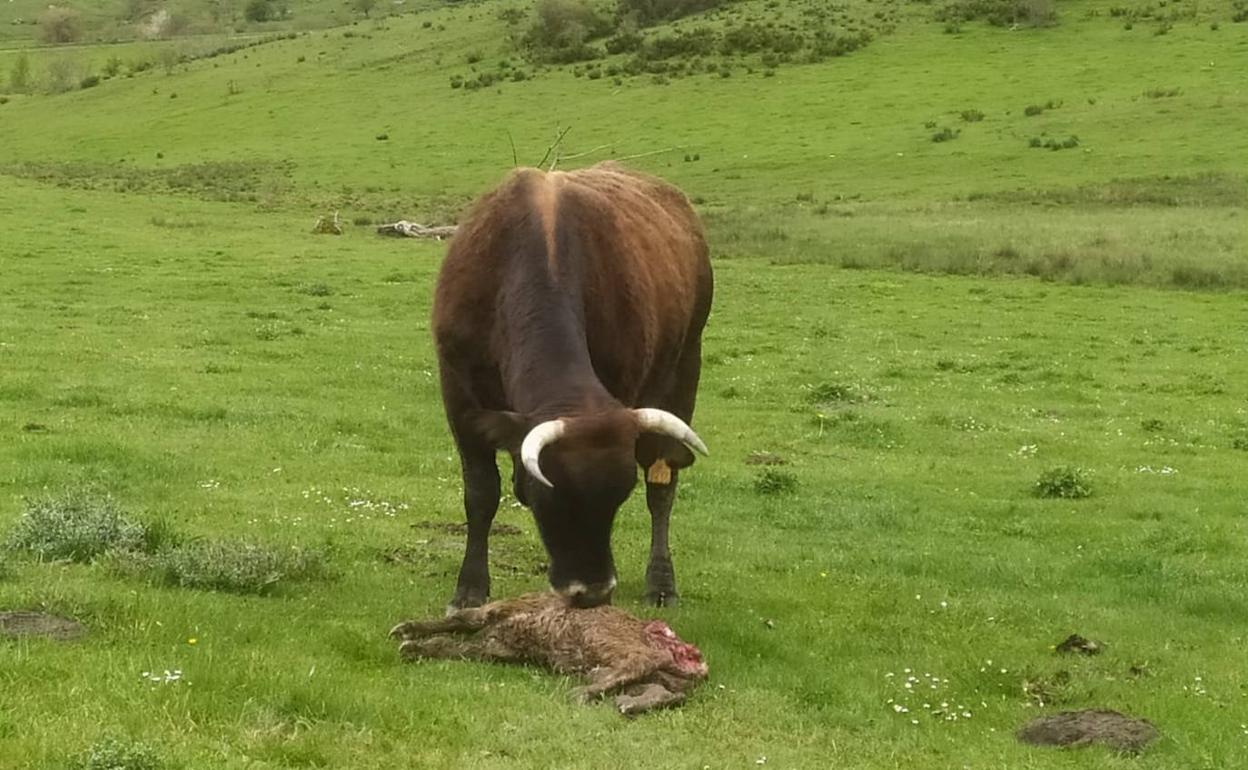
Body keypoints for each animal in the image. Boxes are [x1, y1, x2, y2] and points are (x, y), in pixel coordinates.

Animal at [436, 160, 713, 606]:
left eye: (619, 495)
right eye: (551, 494)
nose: (592, 591)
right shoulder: (458, 398)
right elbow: (481, 493)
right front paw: (470, 590)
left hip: (685, 367)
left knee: (663, 482)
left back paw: (661, 582)